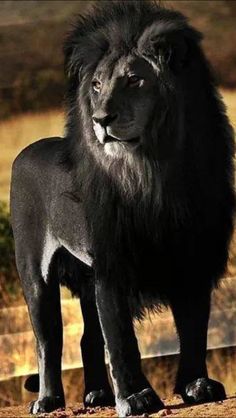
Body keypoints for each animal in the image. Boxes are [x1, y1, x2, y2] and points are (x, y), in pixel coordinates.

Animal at [9, 1, 234, 416]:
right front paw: (136, 398)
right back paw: (48, 400)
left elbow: (194, 327)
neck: (153, 172)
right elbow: (121, 338)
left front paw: (197, 386)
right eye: (96, 85)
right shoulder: (111, 264)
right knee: (48, 339)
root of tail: (28, 150)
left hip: (84, 277)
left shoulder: (192, 257)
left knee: (87, 339)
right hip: (34, 273)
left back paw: (97, 395)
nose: (101, 119)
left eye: (134, 80)